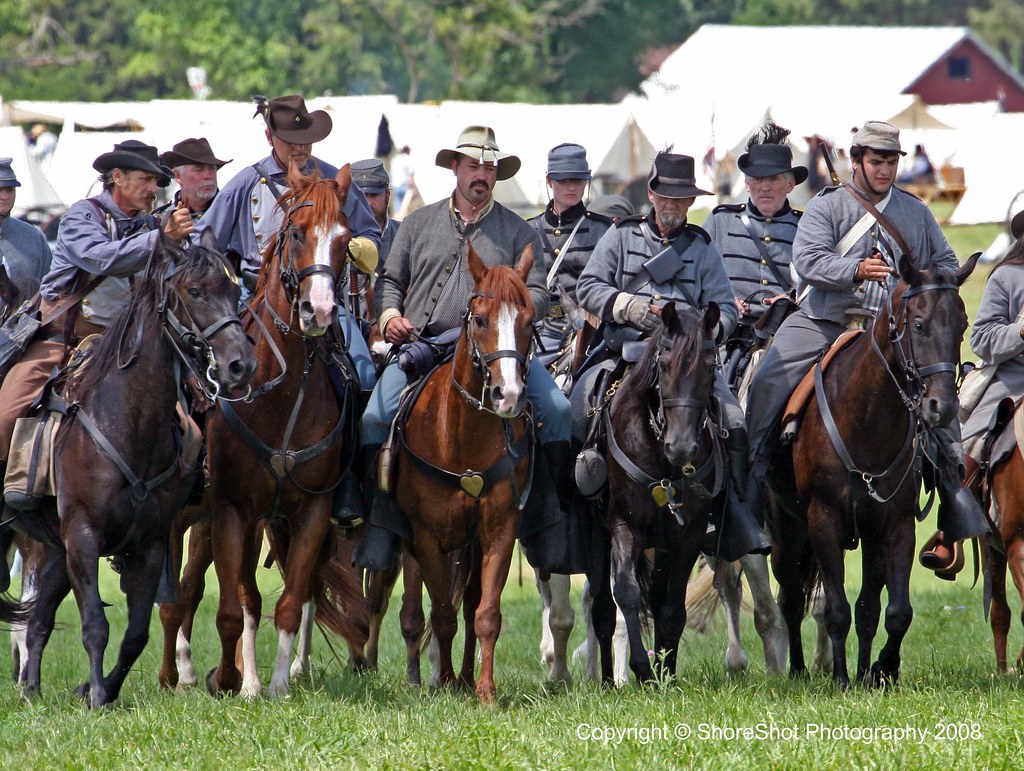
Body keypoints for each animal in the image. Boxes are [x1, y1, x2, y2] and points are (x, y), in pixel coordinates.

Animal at [0, 227, 253, 704]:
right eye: (195, 291)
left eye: (234, 292)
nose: (240, 365)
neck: (123, 419)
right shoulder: (83, 536)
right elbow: (95, 626)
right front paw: (98, 694)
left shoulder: (148, 544)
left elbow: (136, 634)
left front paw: (97, 689)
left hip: (55, 548)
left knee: (38, 620)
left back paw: (31, 692)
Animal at [389, 241, 536, 704]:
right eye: (482, 319)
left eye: (529, 321)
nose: (509, 396)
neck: (461, 437)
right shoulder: (427, 536)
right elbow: (442, 613)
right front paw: (445, 683)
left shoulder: (500, 530)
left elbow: (485, 612)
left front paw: (484, 690)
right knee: (417, 608)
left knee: (470, 604)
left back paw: (469, 677)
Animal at [770, 252, 974, 683]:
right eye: (918, 323)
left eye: (962, 324)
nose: (941, 408)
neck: (865, 418)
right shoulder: (823, 521)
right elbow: (836, 610)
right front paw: (841, 679)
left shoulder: (894, 526)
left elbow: (892, 612)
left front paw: (880, 670)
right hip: (786, 532)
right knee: (791, 599)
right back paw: (798, 670)